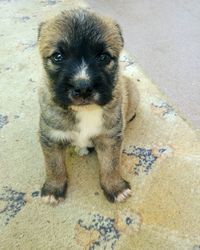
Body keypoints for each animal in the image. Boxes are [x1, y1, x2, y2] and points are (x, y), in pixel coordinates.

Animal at [37, 8, 139, 204]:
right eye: (57, 57)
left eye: (104, 57)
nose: (83, 87)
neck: (84, 111)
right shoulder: (50, 137)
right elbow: (54, 165)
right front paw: (53, 188)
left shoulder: (109, 137)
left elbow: (110, 164)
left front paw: (115, 187)